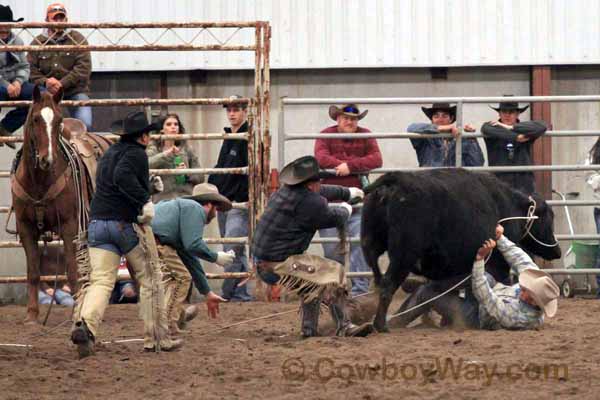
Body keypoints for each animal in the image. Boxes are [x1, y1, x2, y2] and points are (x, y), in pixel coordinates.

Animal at [11, 86, 110, 322]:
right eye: (36, 119)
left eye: (58, 121)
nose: (47, 160)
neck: (39, 181)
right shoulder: (26, 227)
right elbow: (33, 273)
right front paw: (32, 315)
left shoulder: (68, 226)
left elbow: (72, 272)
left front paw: (76, 312)